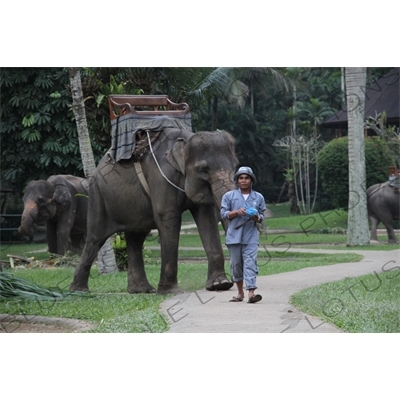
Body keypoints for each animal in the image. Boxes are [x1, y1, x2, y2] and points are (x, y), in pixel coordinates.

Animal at [69, 128, 239, 294]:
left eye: (236, 166)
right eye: (203, 169)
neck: (185, 140)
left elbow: (206, 218)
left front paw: (220, 285)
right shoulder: (161, 177)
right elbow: (168, 218)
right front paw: (170, 291)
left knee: (136, 238)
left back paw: (140, 290)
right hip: (98, 196)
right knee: (96, 238)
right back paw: (79, 291)